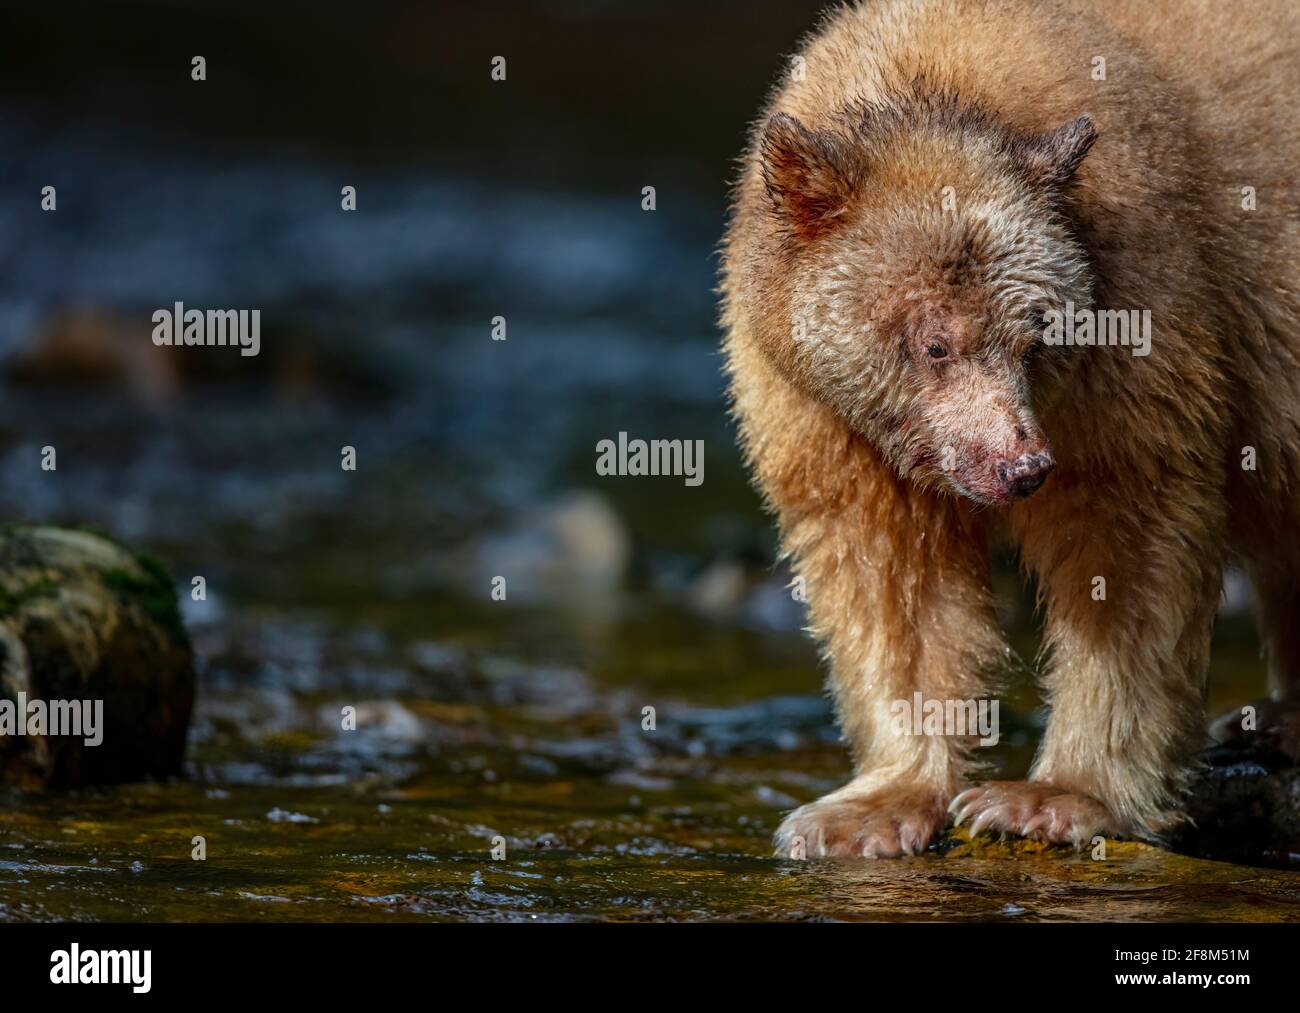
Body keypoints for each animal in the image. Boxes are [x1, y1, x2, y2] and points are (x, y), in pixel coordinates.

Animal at [722, 0, 1300, 858]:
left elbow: (1130, 543)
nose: (1020, 465)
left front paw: (1050, 797)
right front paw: (868, 810)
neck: (936, 86)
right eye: (935, 342)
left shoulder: (1143, 315)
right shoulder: (827, 415)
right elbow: (893, 581)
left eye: (1038, 333)